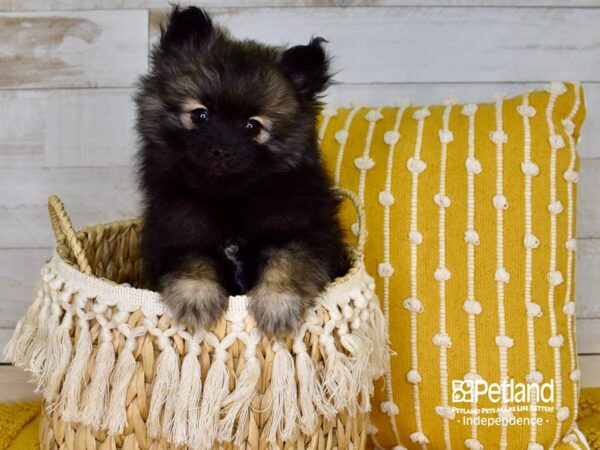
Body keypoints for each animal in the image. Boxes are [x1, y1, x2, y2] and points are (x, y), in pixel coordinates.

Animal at [135, 6, 346, 338]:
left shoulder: (303, 234)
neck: (229, 198)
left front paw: (277, 304)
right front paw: (196, 297)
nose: (222, 150)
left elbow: (288, 262)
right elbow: (191, 260)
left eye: (252, 127)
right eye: (201, 115)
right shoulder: (175, 235)